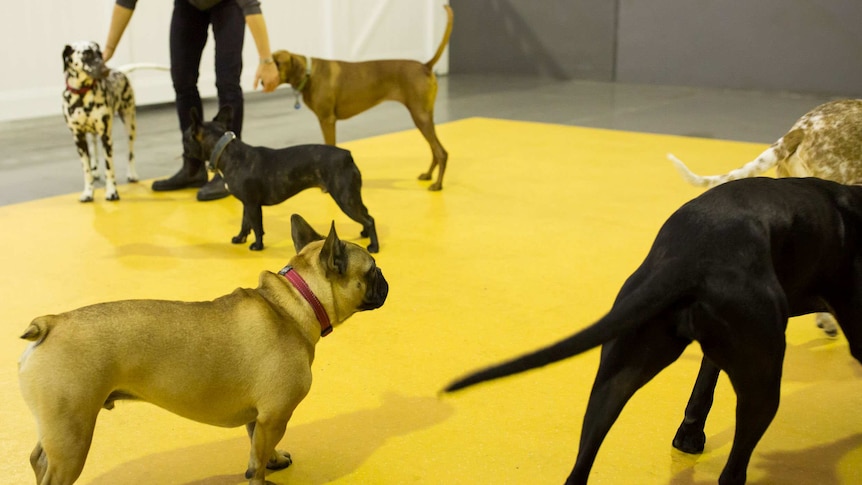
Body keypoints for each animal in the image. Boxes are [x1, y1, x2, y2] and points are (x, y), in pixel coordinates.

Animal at [62, 40, 167, 201]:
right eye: (87, 53)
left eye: (100, 53)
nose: (106, 69)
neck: (82, 97)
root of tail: (119, 71)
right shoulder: (78, 139)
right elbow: (86, 170)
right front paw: (88, 192)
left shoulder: (106, 137)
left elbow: (110, 168)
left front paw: (112, 192)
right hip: (93, 134)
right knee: (94, 148)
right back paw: (95, 169)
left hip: (130, 125)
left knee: (130, 153)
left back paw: (132, 174)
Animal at [182, 104, 378, 251]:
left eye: (185, 139)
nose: (183, 150)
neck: (226, 152)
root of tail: (347, 156)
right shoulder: (247, 204)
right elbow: (245, 223)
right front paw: (239, 239)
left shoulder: (252, 205)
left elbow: (257, 226)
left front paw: (257, 246)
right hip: (352, 196)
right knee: (365, 213)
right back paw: (364, 234)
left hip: (345, 200)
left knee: (369, 219)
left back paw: (374, 246)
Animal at [448, 178, 862, 484]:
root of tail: (691, 257)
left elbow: (703, 386)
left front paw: (690, 435)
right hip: (762, 388)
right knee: (732, 472)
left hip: (616, 378)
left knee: (578, 469)